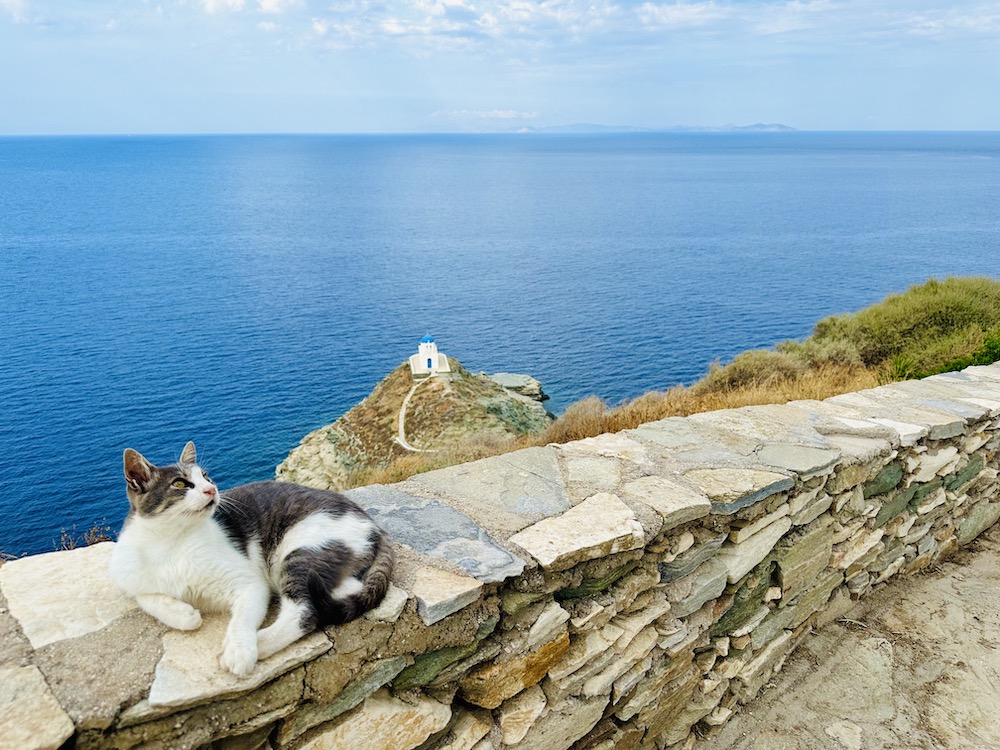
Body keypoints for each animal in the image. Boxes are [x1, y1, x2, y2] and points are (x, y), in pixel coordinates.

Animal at [107, 444, 392, 680]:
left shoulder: (249, 583)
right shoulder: (127, 576)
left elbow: (242, 618)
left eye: (206, 477)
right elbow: (145, 597)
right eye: (179, 483)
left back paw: (259, 643)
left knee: (305, 612)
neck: (172, 543)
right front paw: (184, 613)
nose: (211, 489)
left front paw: (240, 650)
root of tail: (373, 524)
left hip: (299, 552)